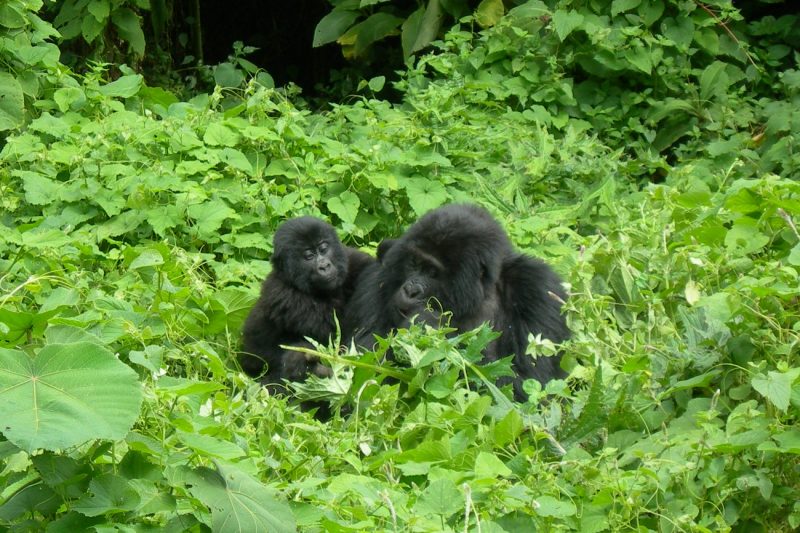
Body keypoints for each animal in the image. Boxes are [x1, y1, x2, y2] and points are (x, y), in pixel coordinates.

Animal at [344, 204, 568, 400]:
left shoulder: (538, 287)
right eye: (414, 263)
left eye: (432, 272)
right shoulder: (383, 269)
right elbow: (365, 360)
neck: (482, 291)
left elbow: (533, 384)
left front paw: (427, 324)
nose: (410, 290)